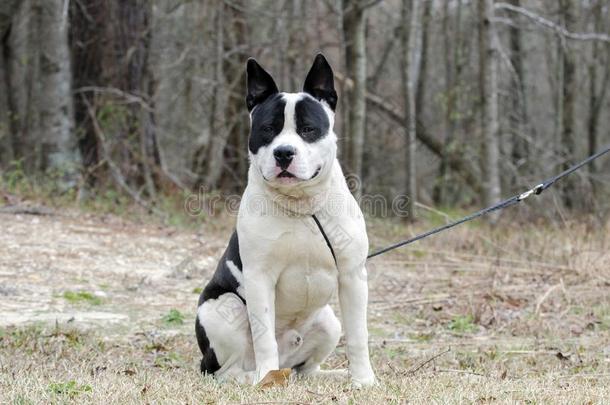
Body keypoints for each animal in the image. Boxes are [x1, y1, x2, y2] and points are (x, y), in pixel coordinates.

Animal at [197, 52, 372, 386]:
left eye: (308, 129)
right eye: (268, 129)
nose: (284, 153)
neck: (302, 205)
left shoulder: (352, 276)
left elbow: (358, 335)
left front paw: (363, 380)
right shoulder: (259, 277)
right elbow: (264, 336)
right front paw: (265, 376)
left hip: (328, 322)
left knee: (307, 368)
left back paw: (330, 375)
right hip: (222, 307)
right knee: (225, 370)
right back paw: (257, 377)